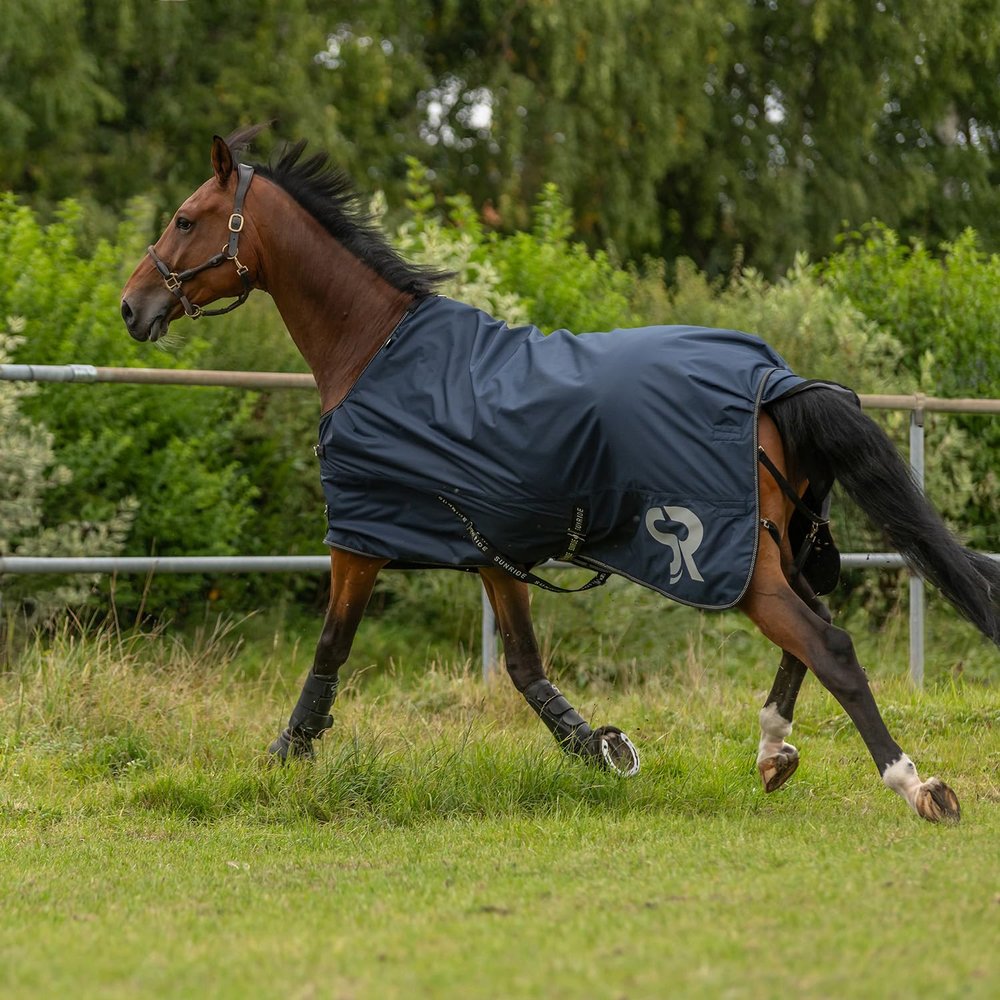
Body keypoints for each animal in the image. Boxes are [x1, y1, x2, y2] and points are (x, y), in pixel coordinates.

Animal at [121, 127, 1000, 823]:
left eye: (184, 219)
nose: (132, 307)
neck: (372, 349)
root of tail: (776, 385)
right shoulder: (493, 550)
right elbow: (524, 667)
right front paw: (598, 748)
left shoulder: (360, 540)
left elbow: (332, 649)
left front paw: (285, 753)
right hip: (770, 548)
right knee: (813, 634)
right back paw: (772, 753)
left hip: (734, 564)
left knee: (831, 645)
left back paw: (916, 786)